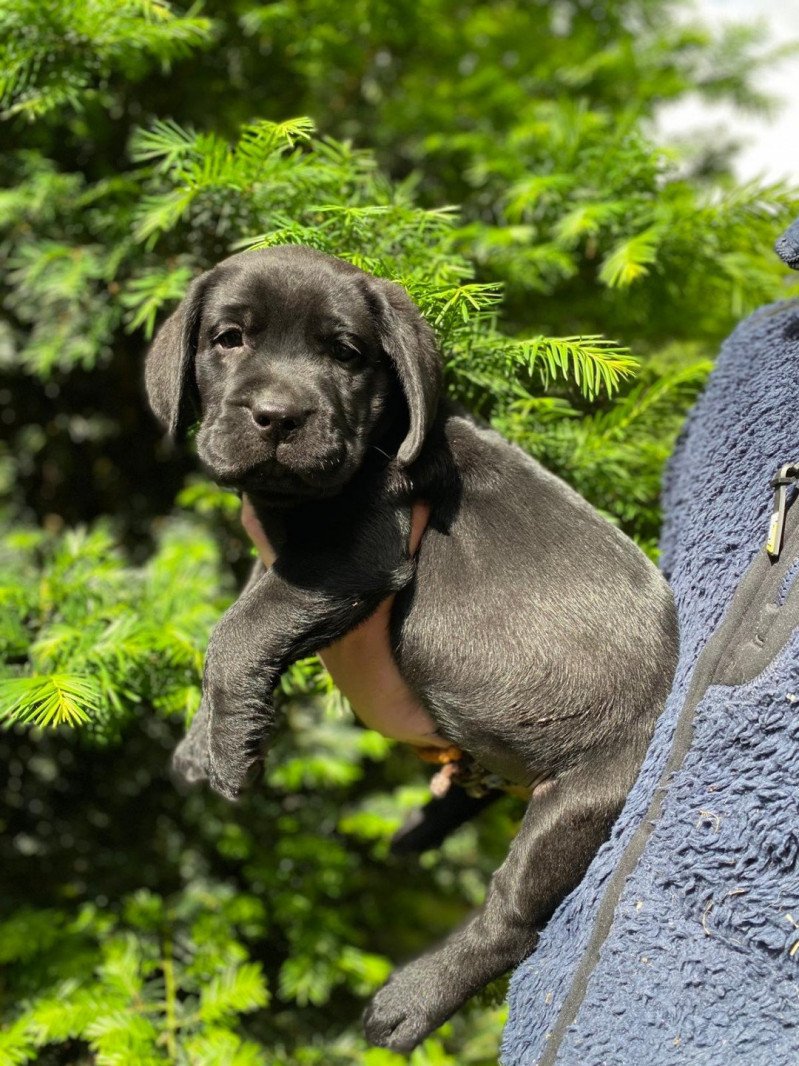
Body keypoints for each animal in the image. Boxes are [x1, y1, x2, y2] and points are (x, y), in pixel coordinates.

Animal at [147, 245, 677, 1053]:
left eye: (345, 354)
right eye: (227, 340)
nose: (277, 417)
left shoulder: (355, 551)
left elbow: (236, 634)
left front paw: (230, 751)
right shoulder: (288, 558)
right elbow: (244, 615)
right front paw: (203, 743)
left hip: (584, 800)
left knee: (510, 920)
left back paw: (411, 999)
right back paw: (419, 826)